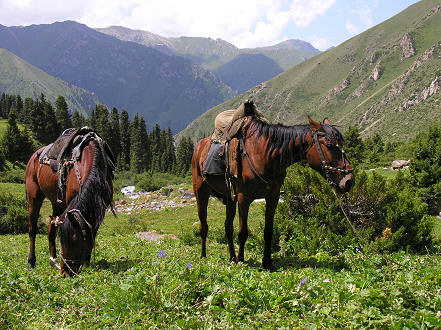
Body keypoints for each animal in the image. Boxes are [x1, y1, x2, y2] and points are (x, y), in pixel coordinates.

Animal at [25, 130, 115, 278]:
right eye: (62, 241)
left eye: (75, 241)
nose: (65, 273)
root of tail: (34, 155)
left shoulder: (98, 210)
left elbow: (92, 233)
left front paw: (87, 262)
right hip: (34, 197)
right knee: (33, 229)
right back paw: (31, 262)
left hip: (56, 202)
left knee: (51, 226)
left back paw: (53, 260)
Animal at [192, 116, 354, 270]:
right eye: (329, 145)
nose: (349, 181)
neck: (263, 155)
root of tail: (199, 146)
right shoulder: (244, 198)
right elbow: (243, 232)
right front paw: (241, 261)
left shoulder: (272, 197)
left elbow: (268, 231)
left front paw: (267, 263)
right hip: (201, 193)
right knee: (204, 226)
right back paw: (203, 256)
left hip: (230, 197)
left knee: (228, 227)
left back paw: (232, 257)